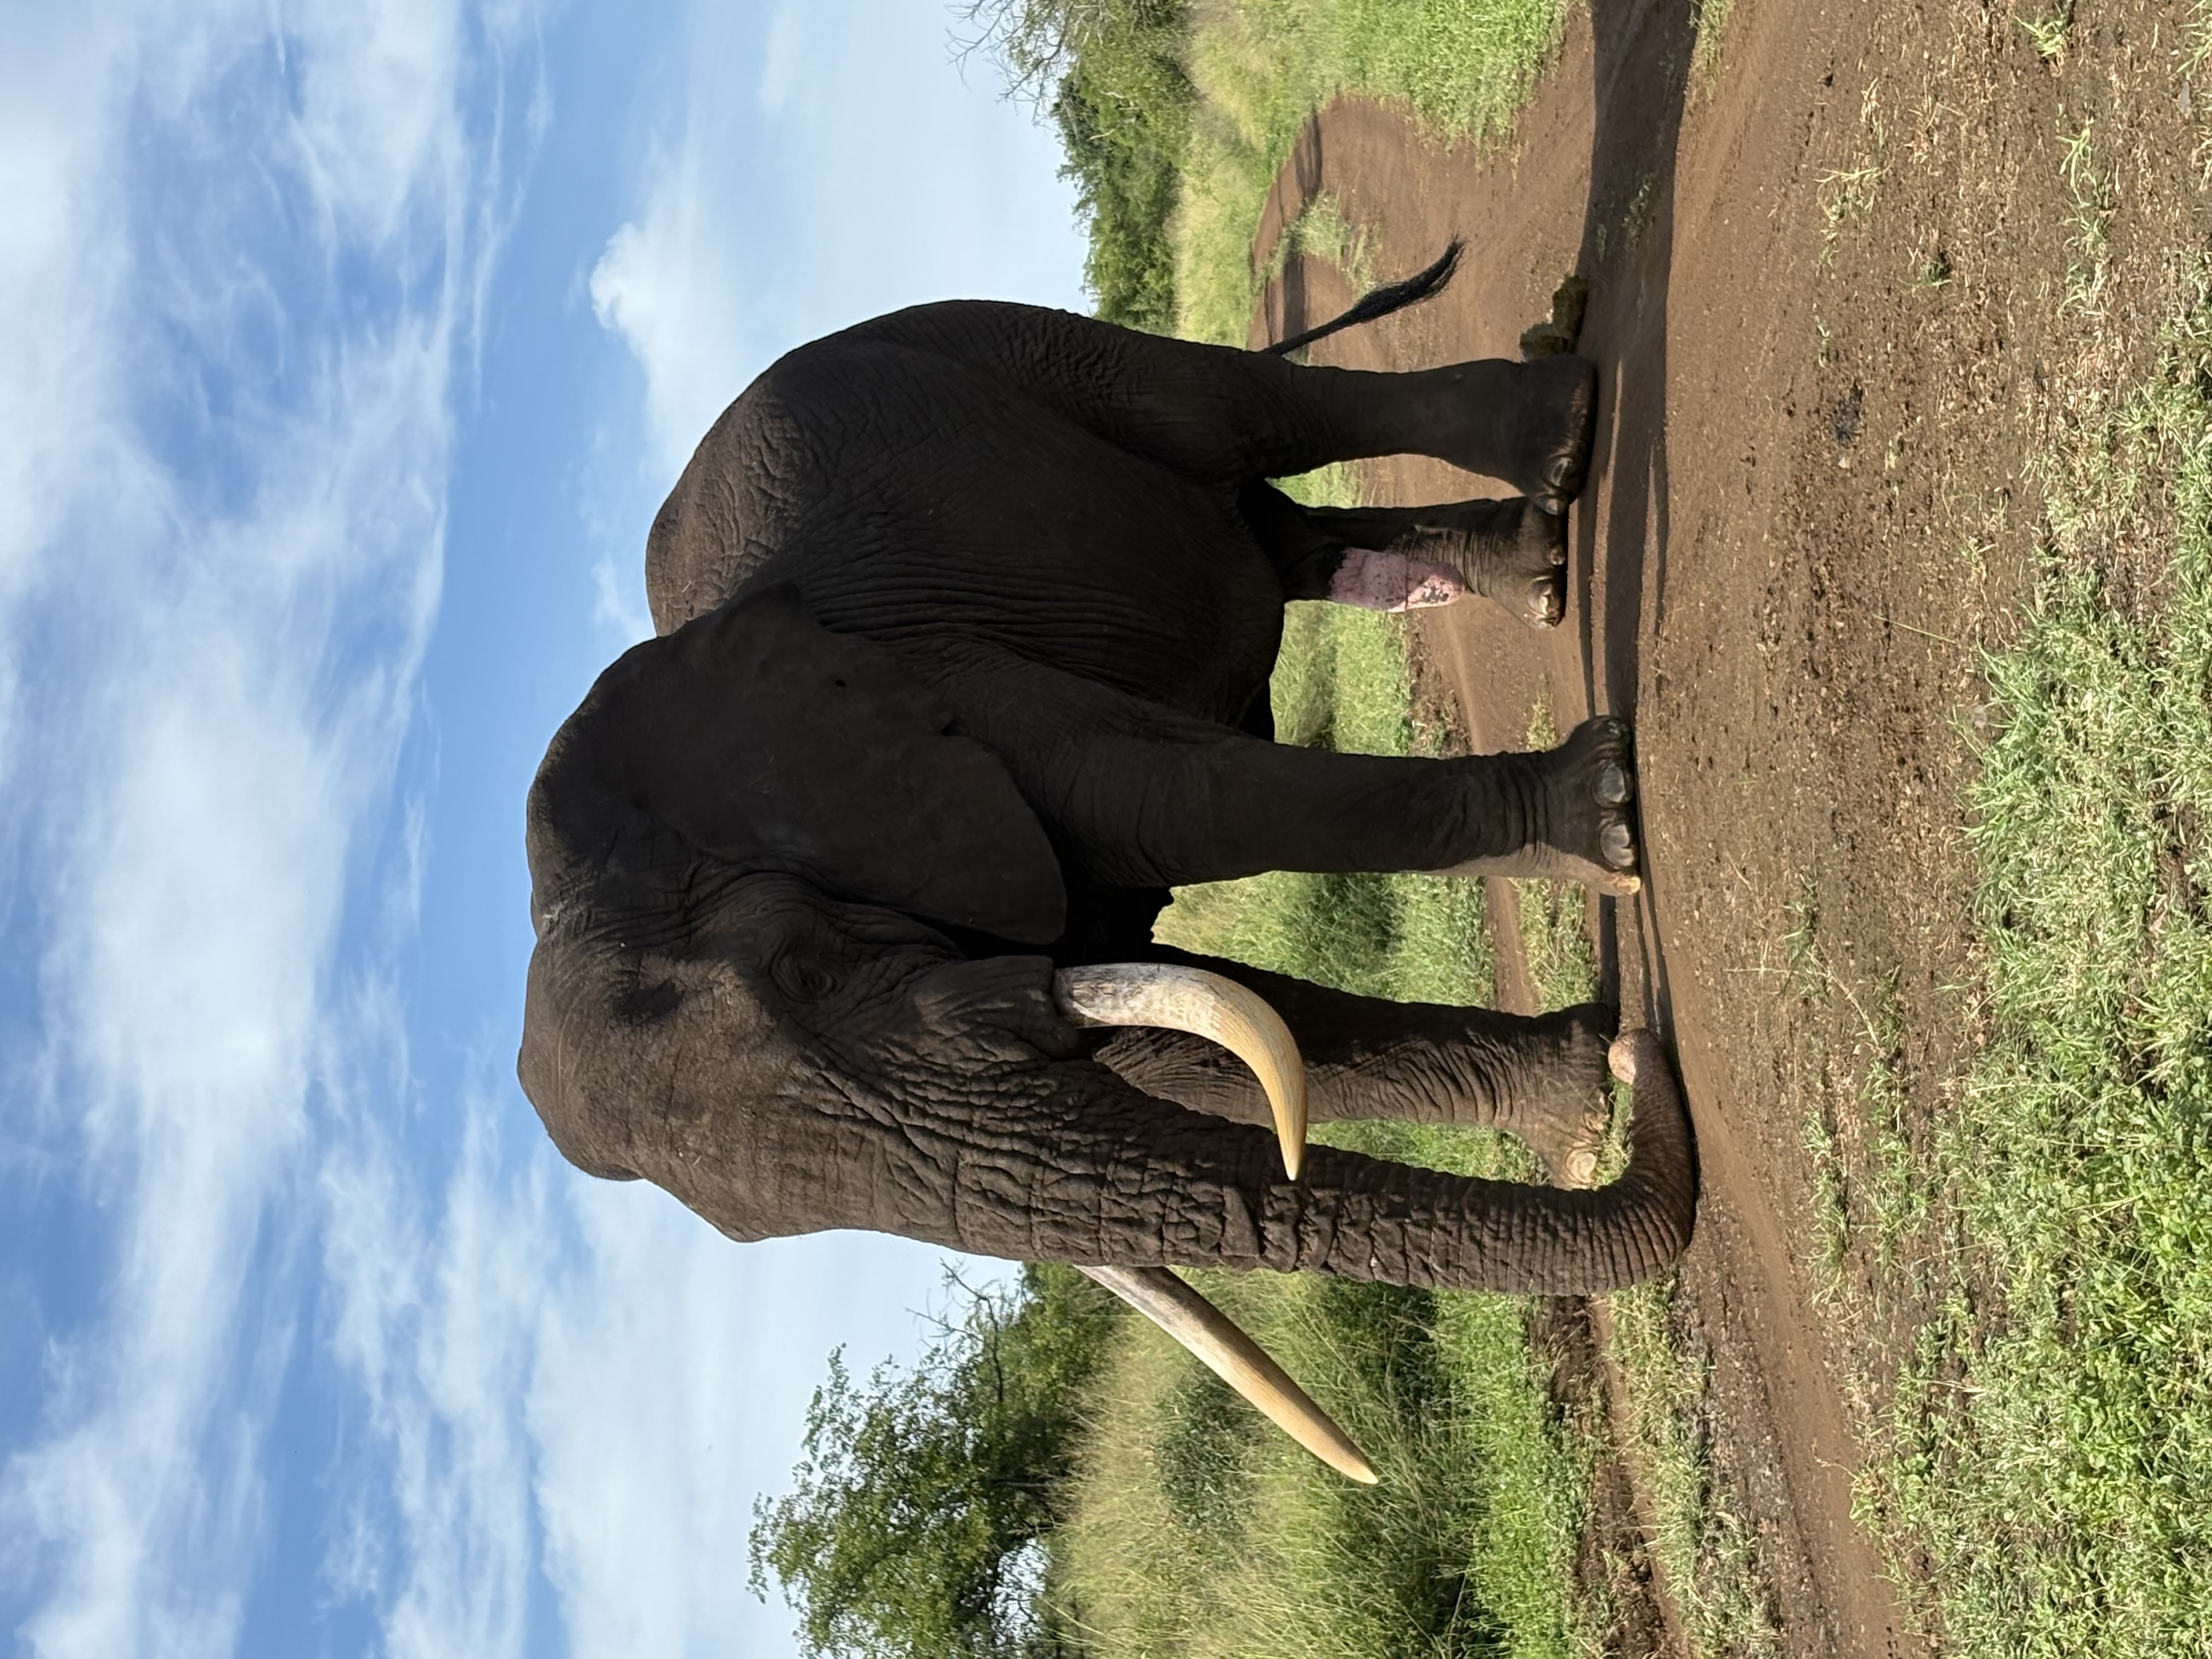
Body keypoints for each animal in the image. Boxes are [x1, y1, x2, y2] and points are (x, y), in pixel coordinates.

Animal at [519, 256, 1697, 1473]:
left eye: (803, 968)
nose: (1644, 1055)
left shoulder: (933, 679)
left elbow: (1156, 797)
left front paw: (1606, 822)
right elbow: (1198, 1045)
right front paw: (1578, 1106)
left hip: (1005, 346)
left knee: (1235, 412)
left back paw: (1555, 446)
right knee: (1286, 543)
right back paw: (1536, 570)